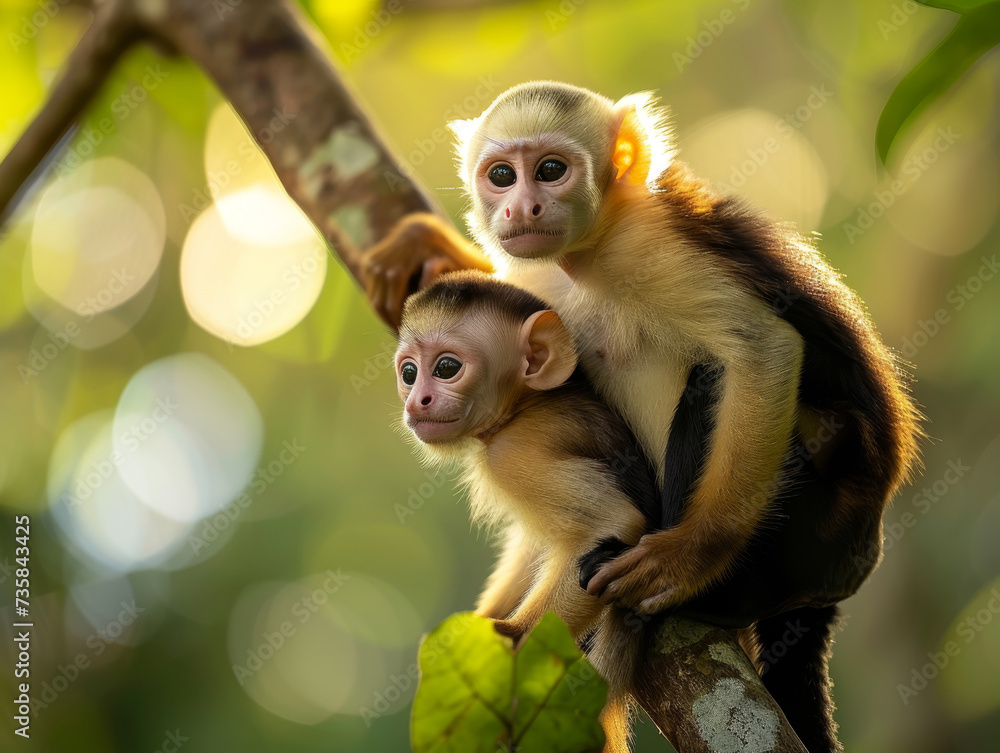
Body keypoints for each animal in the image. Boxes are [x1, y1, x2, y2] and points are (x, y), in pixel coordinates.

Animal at [394, 269, 681, 752]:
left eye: (446, 368)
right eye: (409, 373)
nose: (417, 402)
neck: (524, 407)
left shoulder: (514, 452)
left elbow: (613, 525)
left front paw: (505, 643)